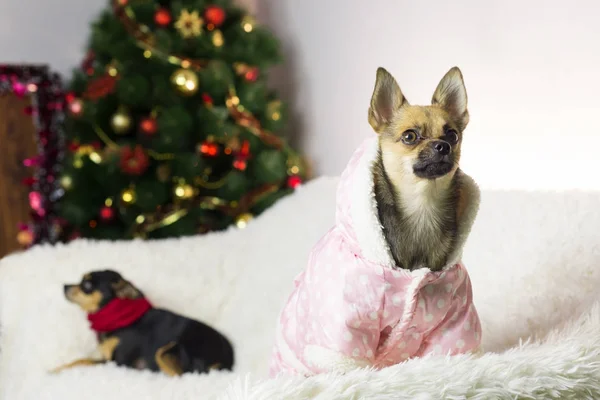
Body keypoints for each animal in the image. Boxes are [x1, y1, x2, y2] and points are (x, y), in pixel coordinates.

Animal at [52, 270, 234, 376]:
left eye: (87, 285)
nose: (64, 286)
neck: (116, 318)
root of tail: (228, 361)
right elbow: (82, 359)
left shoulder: (117, 363)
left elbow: (83, 361)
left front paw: (55, 370)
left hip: (165, 351)